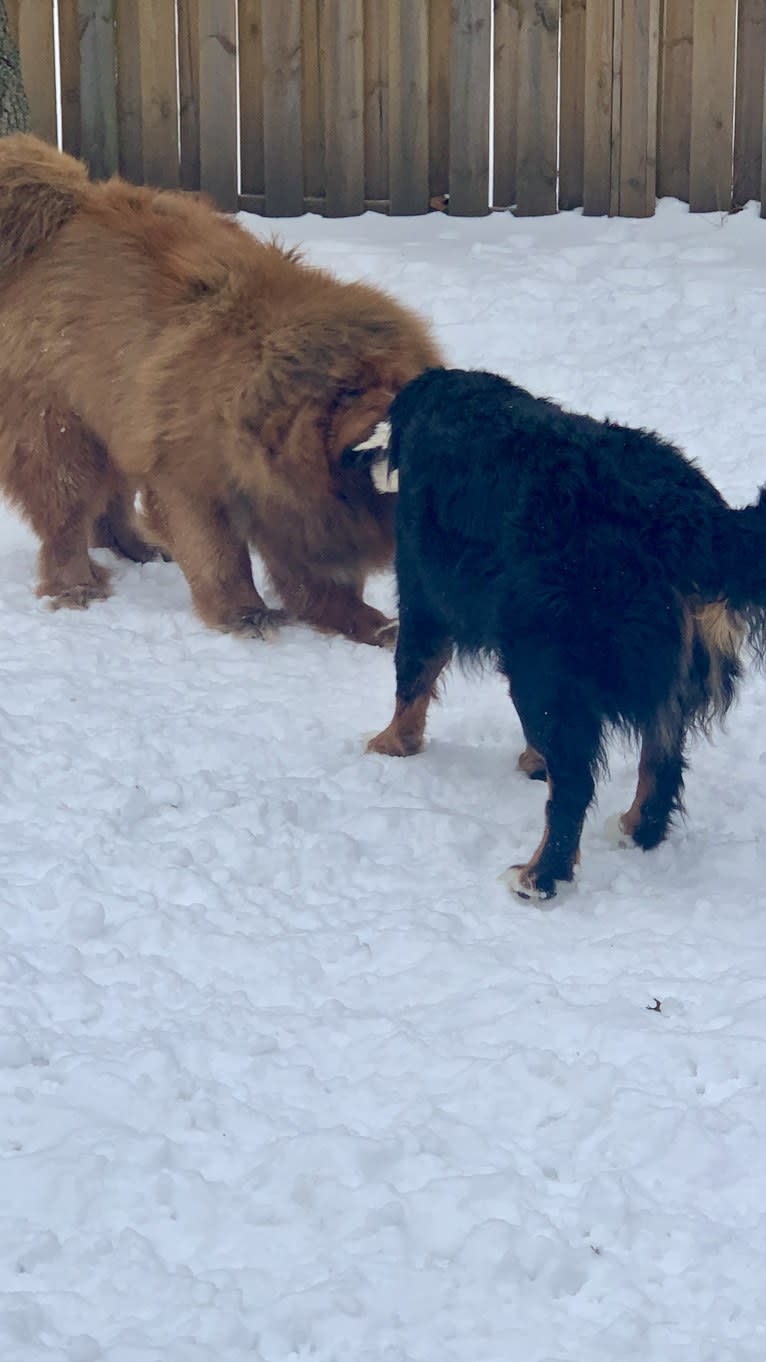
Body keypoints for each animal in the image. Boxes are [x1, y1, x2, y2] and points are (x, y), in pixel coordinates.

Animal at [0, 138, 438, 642]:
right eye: (353, 393)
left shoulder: (297, 510)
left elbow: (323, 577)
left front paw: (372, 624)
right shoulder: (191, 478)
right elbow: (219, 556)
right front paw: (247, 615)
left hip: (114, 415)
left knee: (111, 502)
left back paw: (140, 549)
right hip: (58, 426)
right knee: (66, 515)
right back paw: (77, 588)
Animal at [362, 373, 763, 898]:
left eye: (386, 426)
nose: (360, 457)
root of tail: (679, 516)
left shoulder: (424, 594)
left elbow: (410, 681)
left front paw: (389, 745)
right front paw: (534, 763)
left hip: (546, 663)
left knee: (574, 787)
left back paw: (538, 876)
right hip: (660, 673)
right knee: (662, 761)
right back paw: (636, 830)